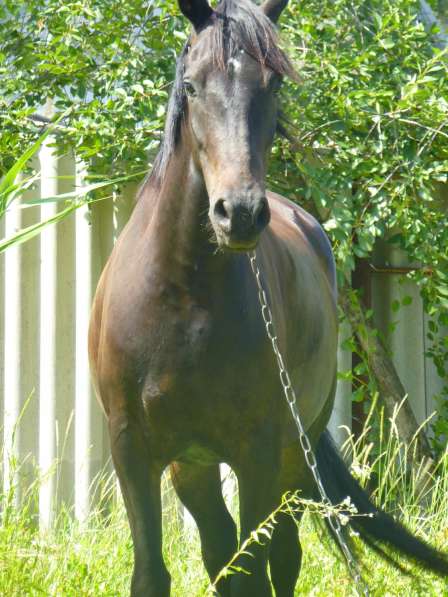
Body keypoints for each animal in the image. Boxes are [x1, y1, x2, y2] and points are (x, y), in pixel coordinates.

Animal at [88, 0, 448, 592]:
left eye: (273, 84)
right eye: (191, 85)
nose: (239, 213)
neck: (180, 297)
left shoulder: (256, 452)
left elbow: (253, 571)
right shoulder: (131, 450)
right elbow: (153, 573)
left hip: (292, 457)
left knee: (281, 553)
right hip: (194, 465)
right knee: (219, 546)